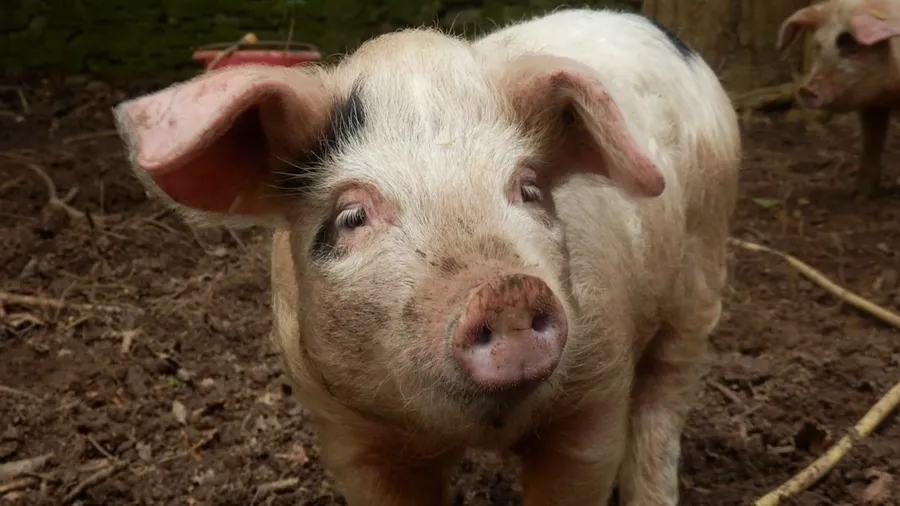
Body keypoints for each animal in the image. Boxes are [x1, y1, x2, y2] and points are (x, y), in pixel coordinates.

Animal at [113, 7, 740, 506]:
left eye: (528, 189)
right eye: (351, 216)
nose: (506, 290)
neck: (481, 429)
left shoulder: (595, 400)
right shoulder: (347, 432)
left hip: (703, 268)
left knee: (662, 405)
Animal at [777, 0, 900, 197]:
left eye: (854, 49)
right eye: (818, 46)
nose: (806, 89)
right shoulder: (873, 104)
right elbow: (871, 141)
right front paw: (860, 196)